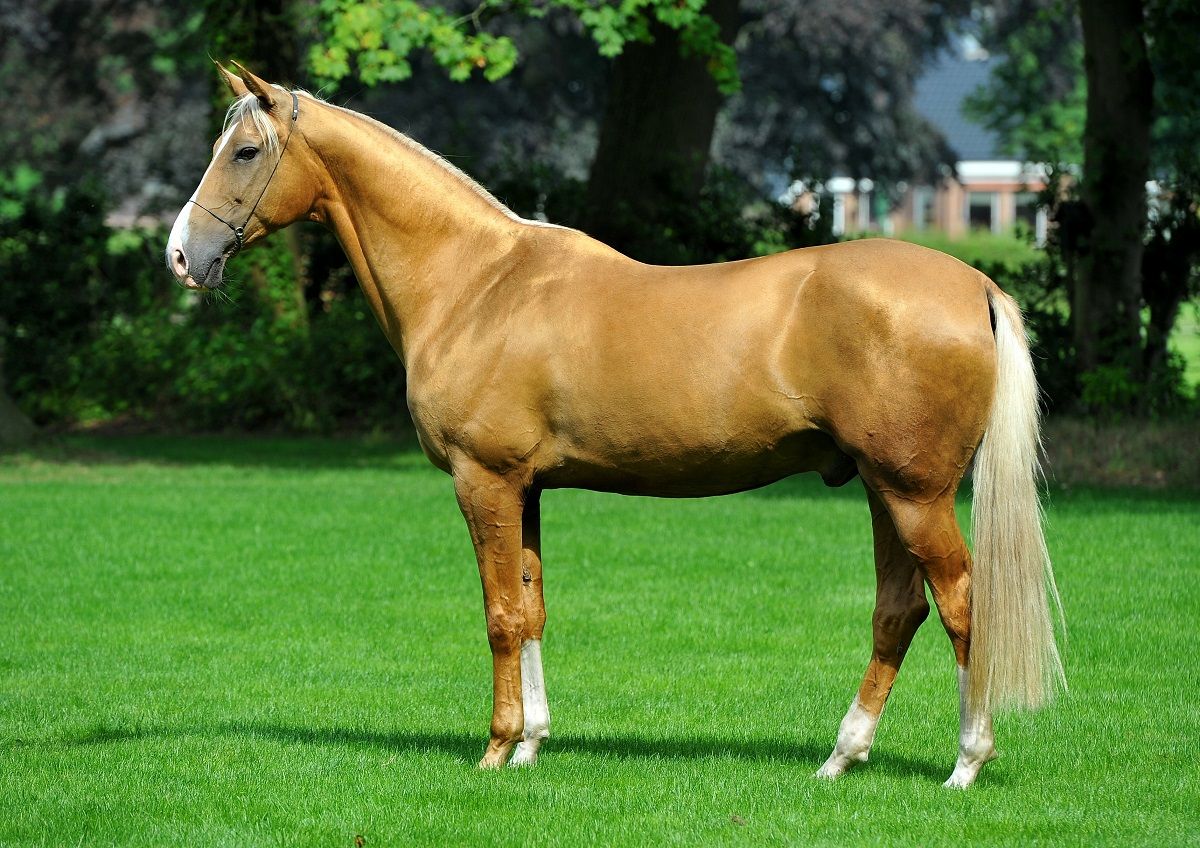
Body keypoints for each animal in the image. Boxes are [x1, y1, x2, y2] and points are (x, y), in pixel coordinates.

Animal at [166, 62, 1065, 788]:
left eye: (245, 151)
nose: (181, 255)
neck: (477, 283)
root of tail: (976, 285)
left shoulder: (484, 481)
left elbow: (499, 615)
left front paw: (494, 750)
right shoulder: (526, 488)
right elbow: (531, 609)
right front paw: (532, 745)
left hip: (915, 494)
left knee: (961, 604)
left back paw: (966, 763)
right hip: (884, 490)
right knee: (897, 611)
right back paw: (841, 757)